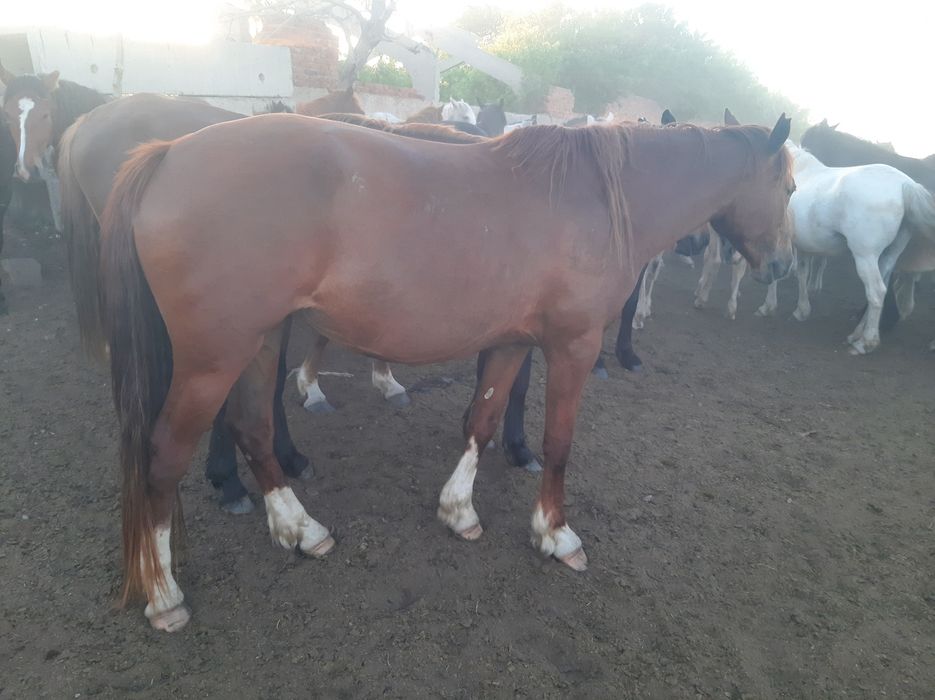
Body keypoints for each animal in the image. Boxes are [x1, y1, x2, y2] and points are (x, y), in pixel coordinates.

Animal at [96, 112, 793, 630]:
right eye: (789, 188)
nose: (784, 266)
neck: (596, 199)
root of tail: (167, 153)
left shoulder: (511, 343)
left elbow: (482, 420)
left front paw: (459, 511)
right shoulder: (573, 346)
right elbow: (558, 443)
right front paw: (554, 533)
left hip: (261, 341)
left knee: (253, 428)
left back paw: (298, 528)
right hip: (213, 358)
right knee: (163, 457)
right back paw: (164, 596)